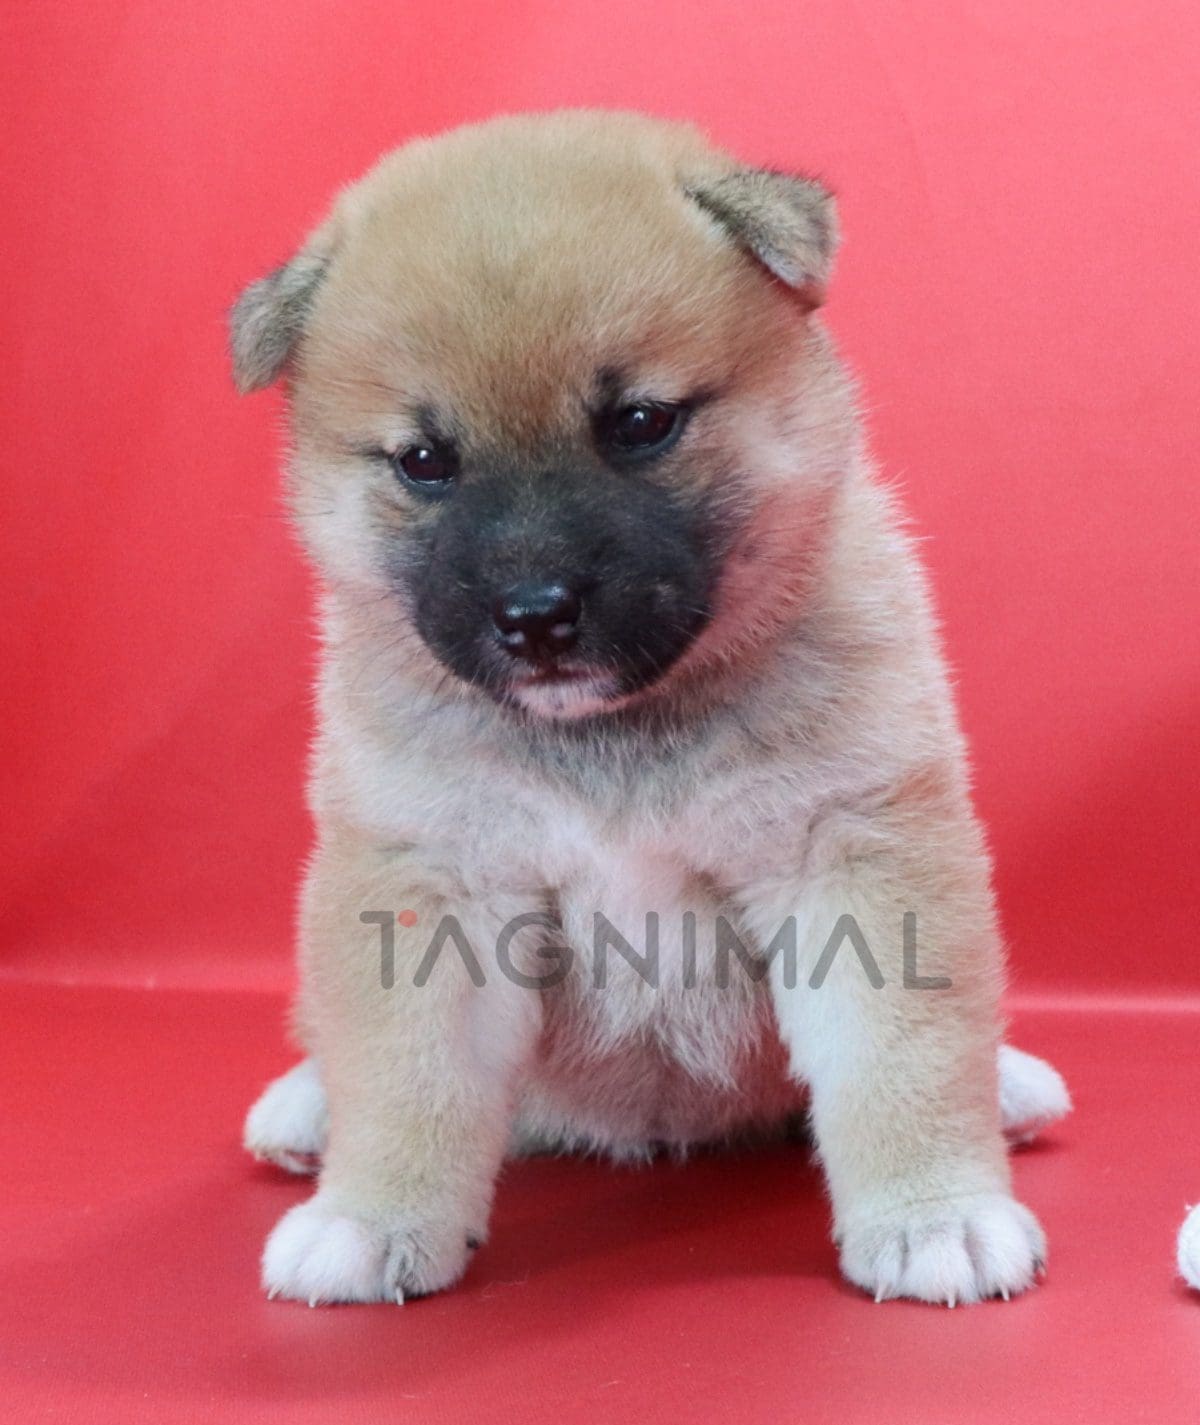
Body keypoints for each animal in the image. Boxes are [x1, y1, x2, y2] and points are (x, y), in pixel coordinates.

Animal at [232, 111, 1070, 1307]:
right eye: (426, 461)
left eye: (638, 423)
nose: (535, 613)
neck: (612, 735)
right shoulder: (432, 882)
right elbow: (406, 1073)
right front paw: (371, 1216)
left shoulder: (852, 851)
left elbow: (899, 1051)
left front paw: (936, 1214)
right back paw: (305, 1111)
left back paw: (1008, 1084)